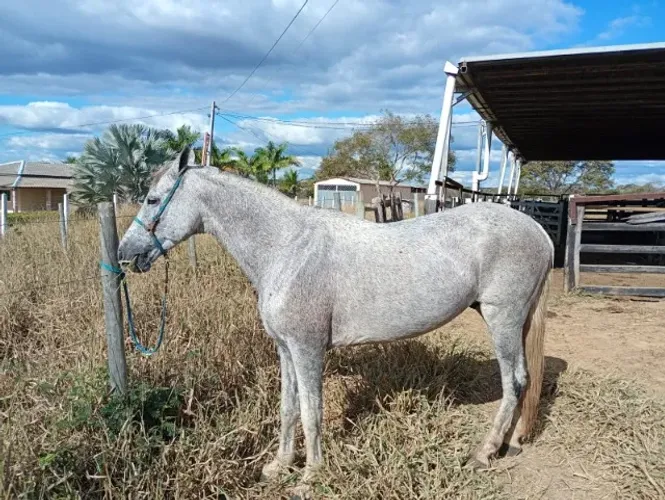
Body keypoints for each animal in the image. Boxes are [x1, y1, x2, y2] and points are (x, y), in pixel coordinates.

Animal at [117, 145, 553, 486]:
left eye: (153, 200)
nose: (125, 253)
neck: (288, 248)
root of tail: (538, 231)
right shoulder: (286, 349)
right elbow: (289, 407)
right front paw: (279, 466)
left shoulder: (308, 348)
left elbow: (312, 410)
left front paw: (310, 476)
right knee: (526, 381)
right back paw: (512, 442)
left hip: (502, 320)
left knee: (514, 381)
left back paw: (484, 452)